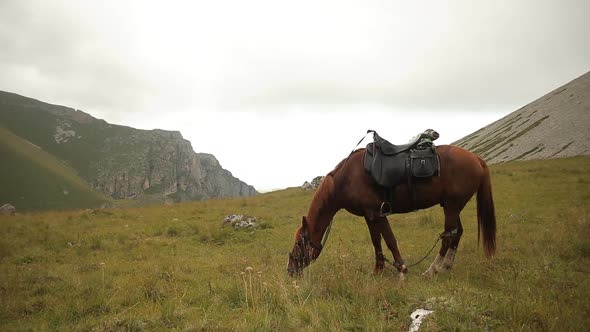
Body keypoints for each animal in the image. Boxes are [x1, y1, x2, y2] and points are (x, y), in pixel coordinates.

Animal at [290, 145, 498, 278]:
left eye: (300, 242)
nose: (290, 269)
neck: (346, 179)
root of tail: (476, 158)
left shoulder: (378, 213)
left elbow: (390, 240)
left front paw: (402, 268)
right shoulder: (370, 215)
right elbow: (376, 241)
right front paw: (378, 269)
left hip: (452, 206)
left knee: (448, 236)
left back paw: (432, 270)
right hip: (452, 206)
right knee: (456, 233)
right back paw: (446, 266)